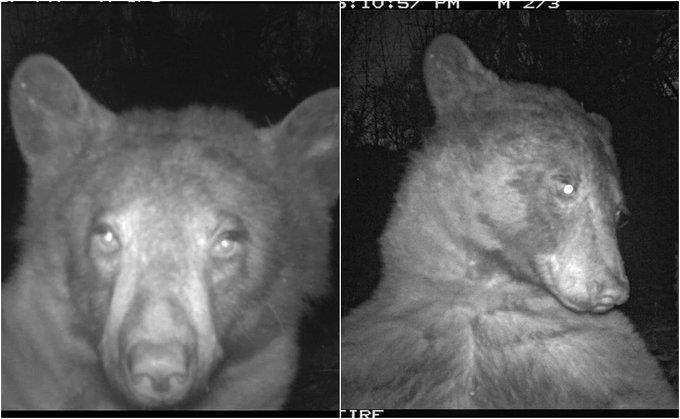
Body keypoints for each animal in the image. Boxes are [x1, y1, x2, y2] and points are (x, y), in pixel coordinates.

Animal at [341, 35, 677, 409]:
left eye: (619, 213)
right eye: (567, 185)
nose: (613, 289)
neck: (486, 288)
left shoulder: (600, 358)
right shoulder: (383, 348)